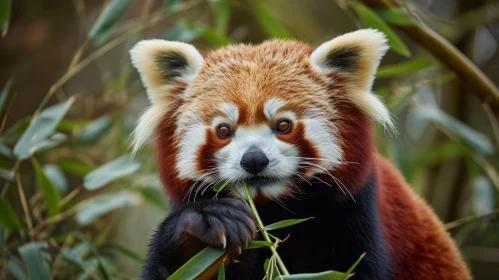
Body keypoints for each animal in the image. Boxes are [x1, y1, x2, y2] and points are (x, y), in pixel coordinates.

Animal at [129, 29, 472, 280]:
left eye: (284, 125)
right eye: (224, 130)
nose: (254, 160)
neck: (275, 212)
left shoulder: (355, 215)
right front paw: (203, 228)